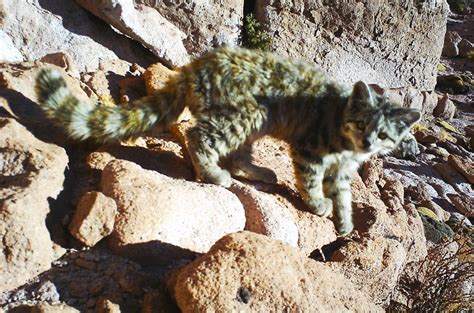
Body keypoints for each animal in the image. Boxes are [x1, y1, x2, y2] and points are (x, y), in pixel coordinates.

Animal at [35, 47, 420, 234]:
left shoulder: (342, 170)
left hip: (250, 124)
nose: (367, 143)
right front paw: (317, 204)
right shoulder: (310, 150)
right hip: (248, 114)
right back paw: (213, 174)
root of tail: (194, 66)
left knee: (235, 153)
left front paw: (344, 221)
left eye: (383, 134)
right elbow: (312, 181)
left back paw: (256, 172)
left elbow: (343, 195)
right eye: (361, 123)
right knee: (198, 135)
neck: (346, 149)